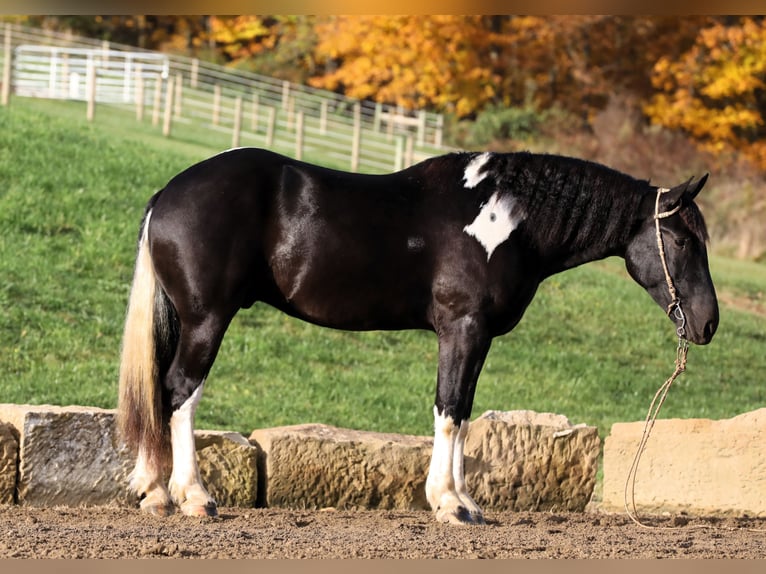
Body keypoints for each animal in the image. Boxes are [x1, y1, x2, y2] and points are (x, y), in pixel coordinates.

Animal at [118, 148, 720, 528]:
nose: (708, 323)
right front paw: (449, 505)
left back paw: (153, 492)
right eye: (682, 239)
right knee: (179, 392)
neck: (505, 221)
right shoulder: (462, 329)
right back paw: (193, 497)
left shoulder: (473, 337)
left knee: (159, 391)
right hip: (208, 319)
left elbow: (464, 412)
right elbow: (450, 410)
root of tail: (166, 195)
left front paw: (463, 501)